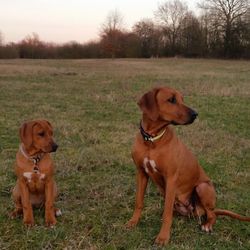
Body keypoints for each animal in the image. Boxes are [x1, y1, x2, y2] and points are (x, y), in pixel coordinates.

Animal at [127, 87, 250, 245]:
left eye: (182, 99)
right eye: (171, 99)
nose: (195, 114)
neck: (152, 139)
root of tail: (194, 210)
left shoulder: (171, 178)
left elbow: (167, 215)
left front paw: (163, 237)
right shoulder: (141, 173)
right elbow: (139, 202)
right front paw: (133, 222)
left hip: (202, 187)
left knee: (212, 214)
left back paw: (207, 225)